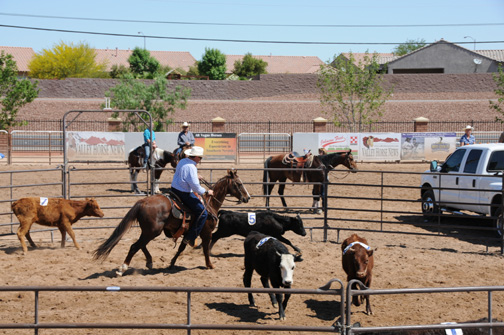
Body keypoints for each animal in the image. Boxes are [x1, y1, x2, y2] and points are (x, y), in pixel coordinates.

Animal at [92, 169, 250, 276]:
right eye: (239, 183)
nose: (247, 197)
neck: (209, 204)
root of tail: (143, 202)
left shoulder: (188, 233)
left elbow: (181, 247)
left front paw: (172, 264)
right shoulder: (206, 233)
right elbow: (205, 249)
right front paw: (210, 265)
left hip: (149, 231)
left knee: (141, 245)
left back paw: (149, 262)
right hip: (152, 231)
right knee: (134, 246)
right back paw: (122, 268)